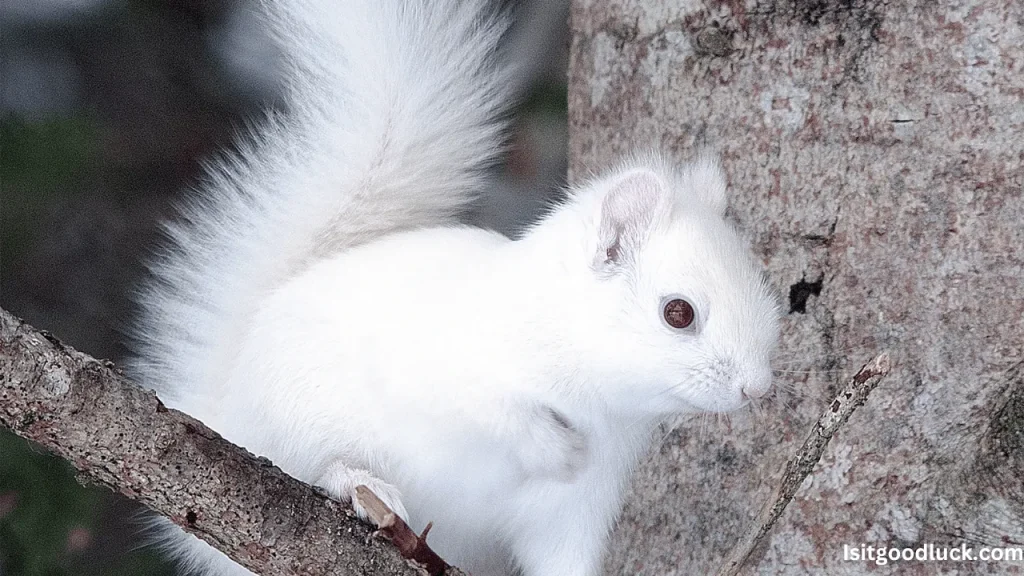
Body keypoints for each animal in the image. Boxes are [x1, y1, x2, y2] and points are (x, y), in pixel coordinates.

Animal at [132, 1, 778, 573]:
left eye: (768, 300)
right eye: (678, 313)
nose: (757, 389)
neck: (595, 395)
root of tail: (223, 409)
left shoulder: (574, 511)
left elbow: (564, 556)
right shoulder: (440, 364)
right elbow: (491, 409)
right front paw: (556, 449)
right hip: (293, 419)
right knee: (313, 462)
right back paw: (359, 483)